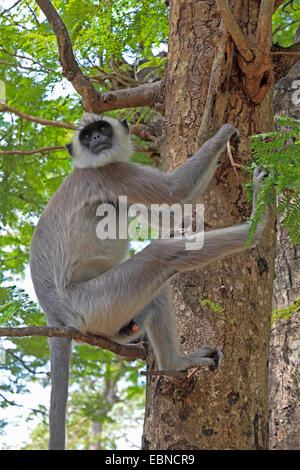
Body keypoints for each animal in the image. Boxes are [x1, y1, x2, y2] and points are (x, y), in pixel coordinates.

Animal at [29, 113, 270, 448]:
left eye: (101, 129)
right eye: (87, 136)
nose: (96, 140)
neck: (86, 167)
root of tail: (54, 316)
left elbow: (171, 215)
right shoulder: (109, 173)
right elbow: (174, 192)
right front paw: (223, 133)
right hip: (95, 301)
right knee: (162, 255)